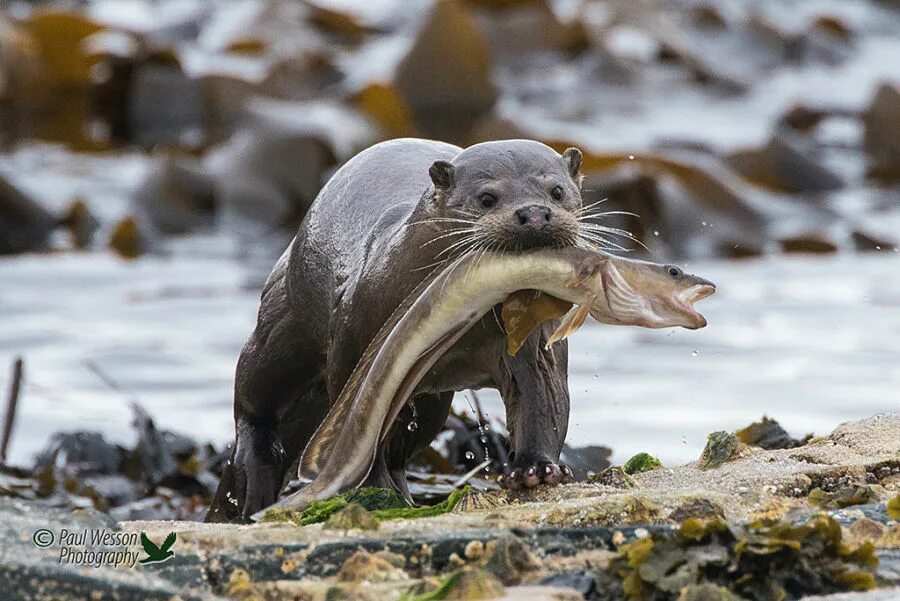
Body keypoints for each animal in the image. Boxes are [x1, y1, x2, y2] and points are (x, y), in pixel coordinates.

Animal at [209, 138, 592, 524]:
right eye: (487, 198)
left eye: (557, 192)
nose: (535, 213)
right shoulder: (355, 344)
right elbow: (357, 425)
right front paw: (372, 485)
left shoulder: (534, 343)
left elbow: (542, 400)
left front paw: (535, 469)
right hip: (284, 326)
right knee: (254, 395)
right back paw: (255, 484)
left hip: (431, 405)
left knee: (403, 446)